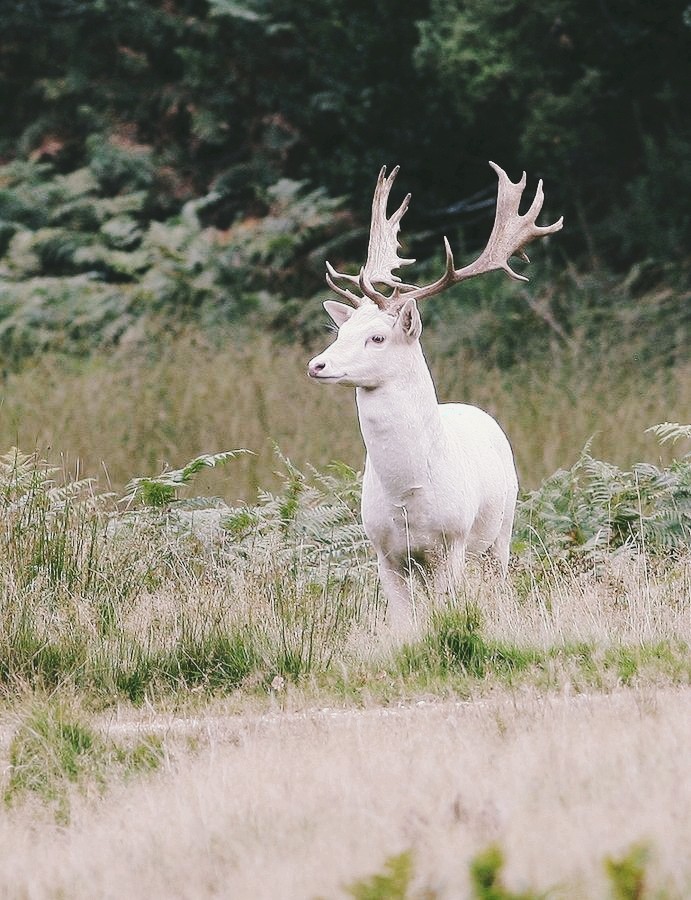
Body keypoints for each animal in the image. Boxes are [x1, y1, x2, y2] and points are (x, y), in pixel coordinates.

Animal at [307, 162, 563, 632]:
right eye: (340, 331)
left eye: (377, 337)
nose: (317, 365)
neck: (407, 494)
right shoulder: (383, 550)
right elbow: (403, 620)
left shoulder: (453, 542)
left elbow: (449, 607)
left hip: (502, 527)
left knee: (499, 579)